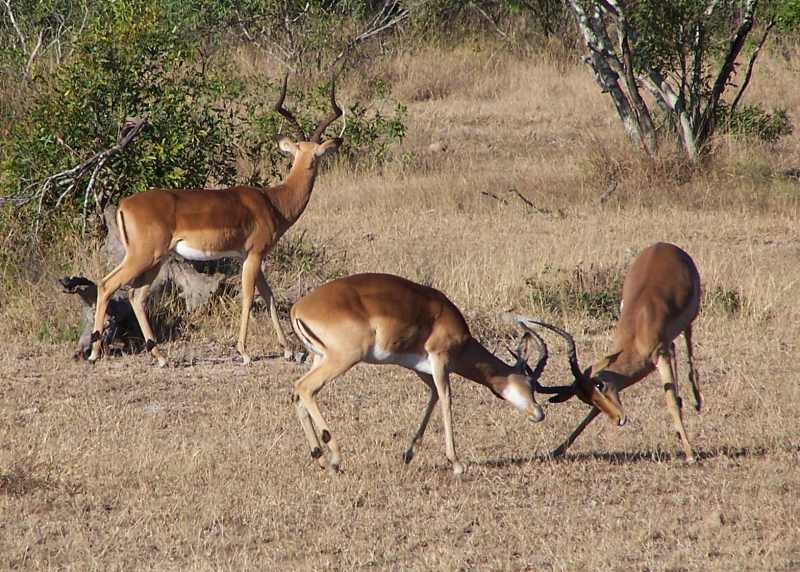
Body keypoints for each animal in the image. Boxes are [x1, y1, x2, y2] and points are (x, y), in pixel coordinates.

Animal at [88, 74, 343, 367]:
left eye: (314, 154)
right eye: (304, 154)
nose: (310, 166)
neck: (273, 202)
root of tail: (124, 204)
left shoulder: (249, 256)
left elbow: (269, 295)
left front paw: (288, 350)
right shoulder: (255, 254)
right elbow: (248, 298)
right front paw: (244, 352)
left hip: (154, 260)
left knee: (135, 295)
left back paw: (160, 356)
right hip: (143, 256)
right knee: (107, 285)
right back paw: (94, 353)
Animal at [289, 272, 552, 475]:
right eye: (530, 382)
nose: (539, 413)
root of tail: (297, 308)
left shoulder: (421, 369)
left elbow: (433, 396)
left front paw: (408, 454)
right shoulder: (440, 358)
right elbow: (446, 399)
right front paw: (457, 464)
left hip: (320, 358)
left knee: (299, 396)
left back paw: (321, 459)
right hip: (342, 359)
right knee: (304, 387)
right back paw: (335, 458)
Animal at [524, 242, 702, 463]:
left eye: (600, 385)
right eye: (586, 398)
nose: (618, 419)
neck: (638, 328)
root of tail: (665, 245)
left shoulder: (660, 354)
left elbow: (670, 402)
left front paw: (690, 454)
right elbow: (592, 413)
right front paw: (557, 450)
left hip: (691, 317)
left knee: (689, 344)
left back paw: (697, 401)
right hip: (671, 343)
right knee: (678, 350)